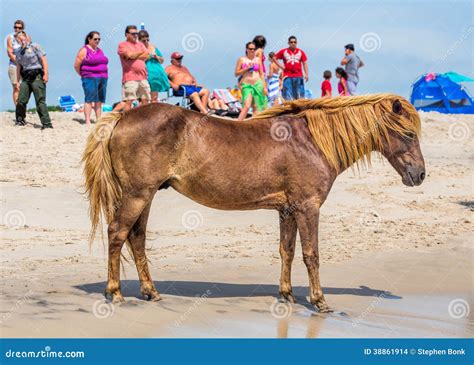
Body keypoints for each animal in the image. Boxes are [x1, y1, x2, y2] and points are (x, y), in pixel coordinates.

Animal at [82, 93, 426, 310]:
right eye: (408, 134)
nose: (420, 174)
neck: (311, 141)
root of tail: (124, 115)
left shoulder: (288, 210)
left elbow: (287, 251)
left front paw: (287, 295)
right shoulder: (308, 207)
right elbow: (311, 255)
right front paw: (319, 301)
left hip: (147, 194)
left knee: (136, 238)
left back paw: (150, 292)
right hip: (137, 194)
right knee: (117, 234)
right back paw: (115, 293)